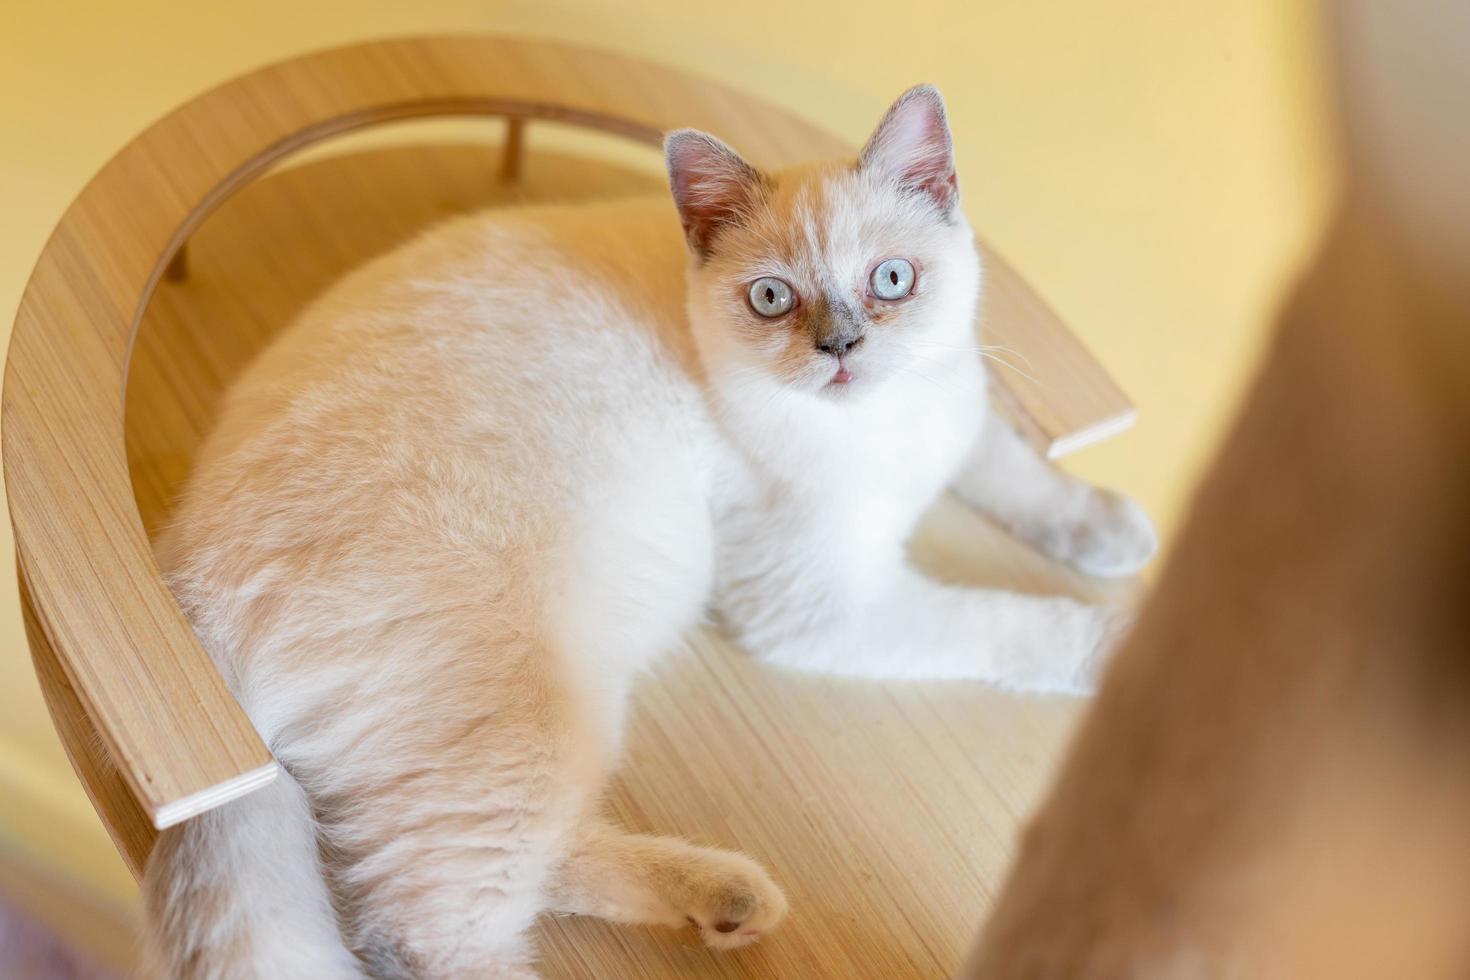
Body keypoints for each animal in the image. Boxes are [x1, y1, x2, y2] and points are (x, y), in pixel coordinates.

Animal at [143, 86, 1152, 980]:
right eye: (773, 299)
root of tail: (183, 586)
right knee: (423, 931)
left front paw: (1117, 534)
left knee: (519, 868)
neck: (884, 432)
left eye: (892, 281)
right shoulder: (822, 606)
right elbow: (1011, 622)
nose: (841, 350)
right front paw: (1126, 645)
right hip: (532, 713)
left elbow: (1016, 471)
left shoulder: (954, 407)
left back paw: (728, 900)